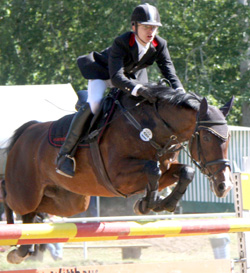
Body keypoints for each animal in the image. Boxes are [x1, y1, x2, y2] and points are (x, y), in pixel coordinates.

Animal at [1, 84, 234, 262]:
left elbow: (185, 171)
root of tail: (27, 131)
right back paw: (14, 242)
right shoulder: (118, 176)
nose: (224, 186)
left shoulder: (166, 168)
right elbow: (153, 169)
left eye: (229, 137)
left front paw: (161, 203)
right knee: (11, 200)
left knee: (36, 213)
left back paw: (23, 248)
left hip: (71, 201)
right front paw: (147, 204)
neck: (152, 127)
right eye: (206, 138)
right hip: (25, 193)